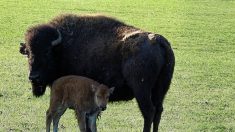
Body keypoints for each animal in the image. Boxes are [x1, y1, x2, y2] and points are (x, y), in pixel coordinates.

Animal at [19, 13, 174, 131]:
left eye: (46, 52)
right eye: (28, 53)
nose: (33, 77)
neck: (62, 48)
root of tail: (159, 41)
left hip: (142, 90)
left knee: (148, 112)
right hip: (161, 89)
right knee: (158, 111)